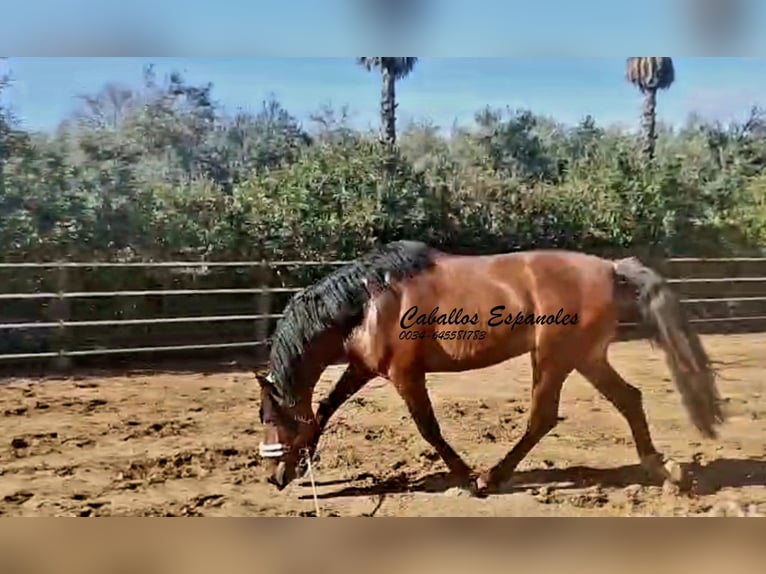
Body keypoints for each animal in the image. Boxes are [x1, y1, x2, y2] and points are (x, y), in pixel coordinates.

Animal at [255, 240, 724, 495]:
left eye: (272, 417)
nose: (274, 476)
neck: (372, 300)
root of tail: (610, 269)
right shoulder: (362, 368)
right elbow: (325, 409)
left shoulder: (406, 375)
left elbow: (429, 428)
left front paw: (465, 478)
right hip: (586, 358)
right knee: (629, 399)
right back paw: (664, 471)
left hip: (554, 359)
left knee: (542, 418)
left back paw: (492, 477)